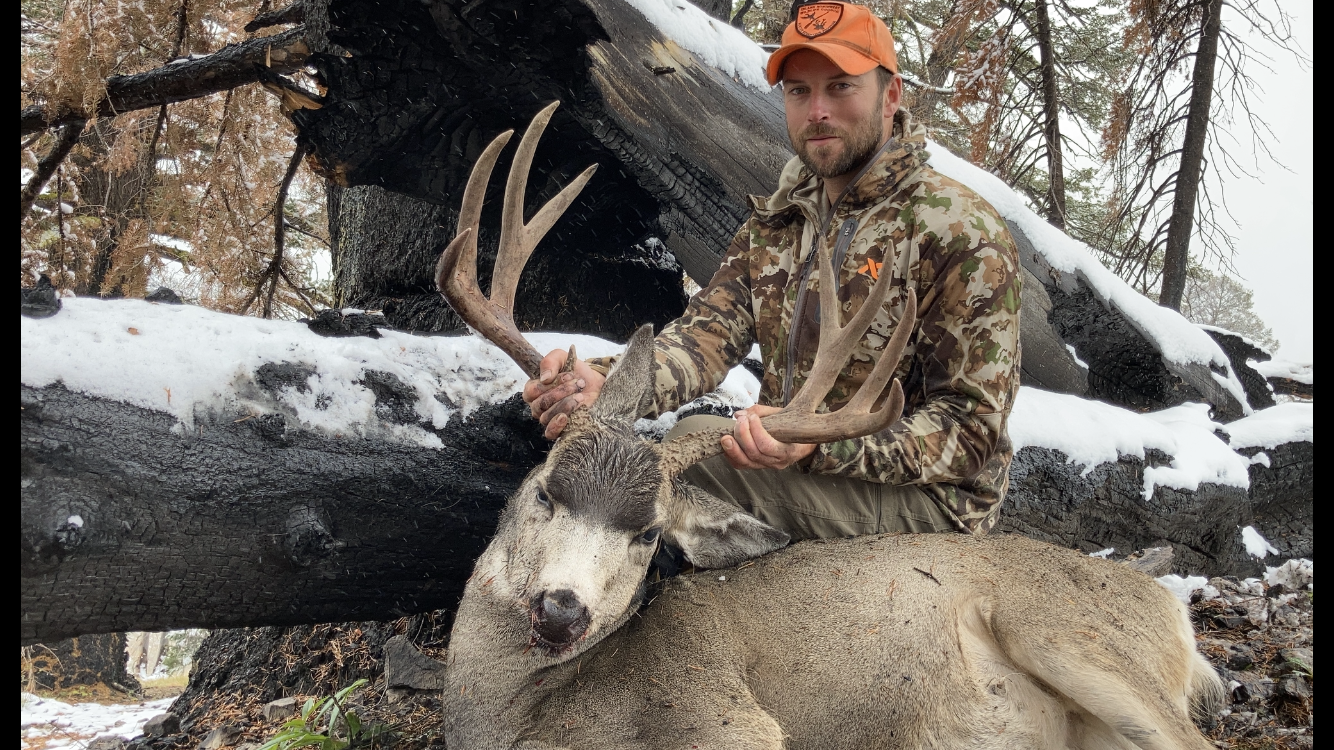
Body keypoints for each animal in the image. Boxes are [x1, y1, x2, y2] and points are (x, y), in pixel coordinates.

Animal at [429, 101, 1224, 749]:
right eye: (544, 492)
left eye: (648, 536)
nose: (561, 611)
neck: (534, 715)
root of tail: (1167, 603)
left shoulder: (724, 718)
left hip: (1068, 631)